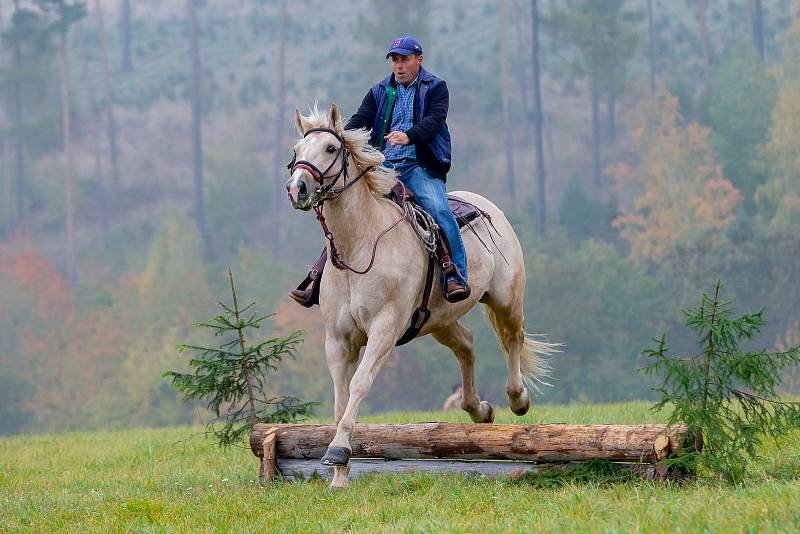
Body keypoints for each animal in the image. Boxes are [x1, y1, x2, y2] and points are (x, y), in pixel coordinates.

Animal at [288, 103, 556, 490]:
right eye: (296, 151)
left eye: (331, 148)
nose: (298, 188)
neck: (360, 246)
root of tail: (492, 208)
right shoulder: (338, 340)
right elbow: (340, 403)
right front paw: (339, 476)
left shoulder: (384, 329)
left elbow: (359, 384)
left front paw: (338, 453)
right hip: (437, 319)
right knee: (467, 344)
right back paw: (480, 409)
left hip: (506, 298)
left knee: (512, 339)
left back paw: (518, 398)